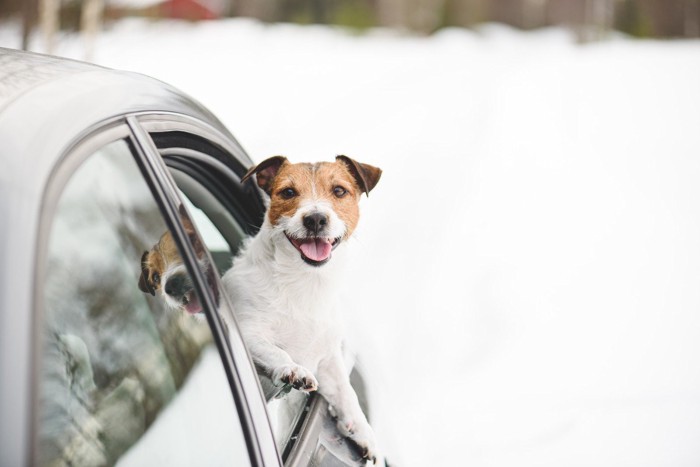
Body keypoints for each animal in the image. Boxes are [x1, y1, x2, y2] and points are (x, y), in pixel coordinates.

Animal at [224, 155, 380, 462]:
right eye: (287, 192)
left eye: (339, 191)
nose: (316, 218)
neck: (303, 283)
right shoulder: (245, 331)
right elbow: (275, 350)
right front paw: (291, 368)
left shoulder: (329, 359)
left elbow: (346, 393)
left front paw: (363, 431)